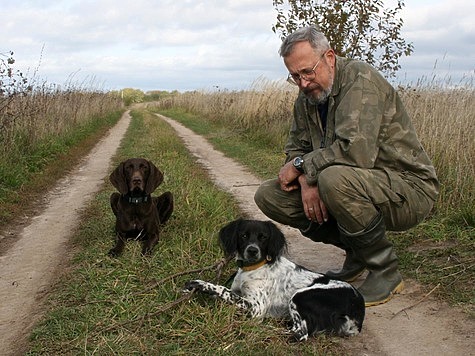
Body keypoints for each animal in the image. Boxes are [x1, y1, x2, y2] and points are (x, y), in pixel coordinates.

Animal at [184, 218, 366, 340]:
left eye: (263, 237)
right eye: (244, 235)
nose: (252, 251)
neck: (252, 268)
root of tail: (358, 308)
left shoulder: (256, 308)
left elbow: (223, 290)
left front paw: (201, 284)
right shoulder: (238, 292)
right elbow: (226, 294)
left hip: (301, 296)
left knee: (301, 333)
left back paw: (269, 330)